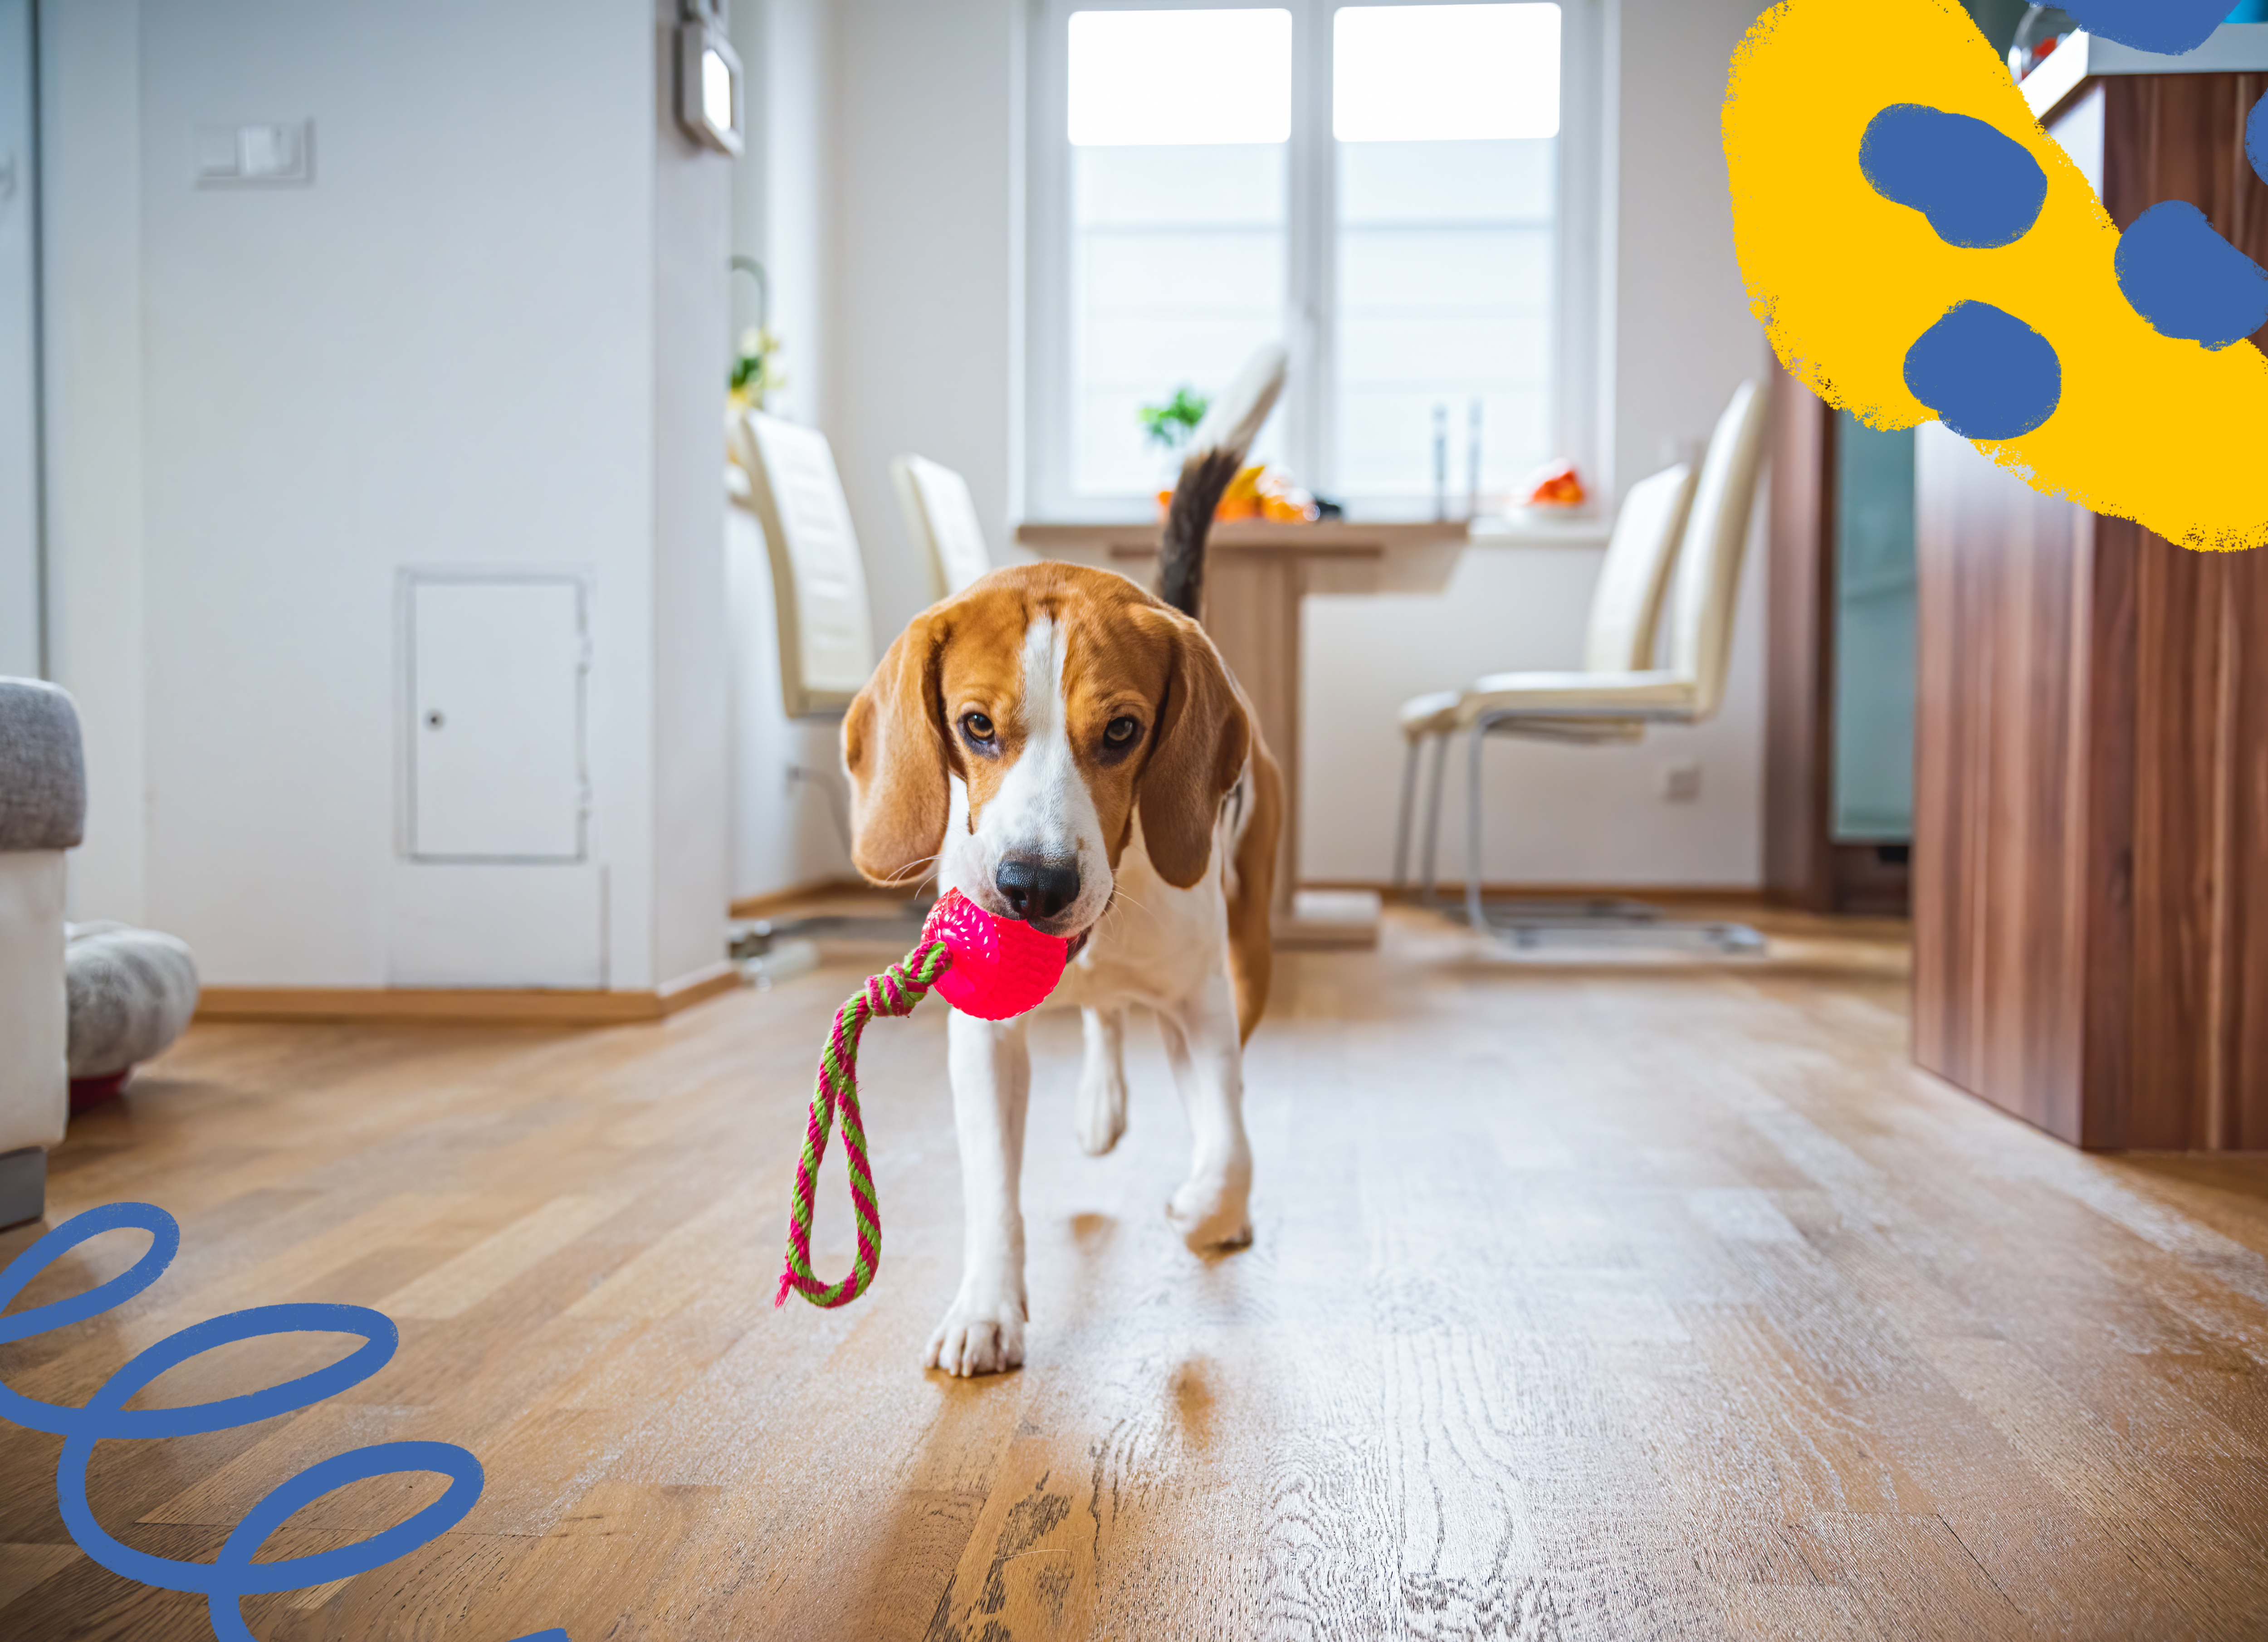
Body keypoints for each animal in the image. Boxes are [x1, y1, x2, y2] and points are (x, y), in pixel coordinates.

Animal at [848, 447, 1288, 1369]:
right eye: (975, 726)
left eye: (1123, 732)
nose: (1034, 886)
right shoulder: (982, 1040)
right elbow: (991, 1186)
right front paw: (987, 1307)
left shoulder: (1202, 1005)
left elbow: (1230, 1142)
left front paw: (1206, 1207)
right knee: (1103, 1017)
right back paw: (1099, 1102)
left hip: (1249, 955)